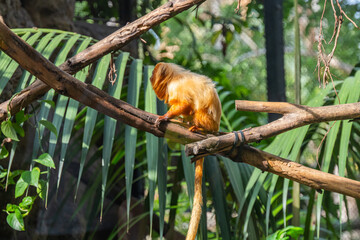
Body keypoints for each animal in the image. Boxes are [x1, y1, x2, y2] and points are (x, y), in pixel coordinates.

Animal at [150, 62, 222, 240]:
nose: (150, 77)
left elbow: (185, 104)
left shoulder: (175, 87)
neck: (173, 77)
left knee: (198, 111)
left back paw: (198, 128)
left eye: (153, 74)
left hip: (207, 120)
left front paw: (165, 117)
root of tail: (215, 128)